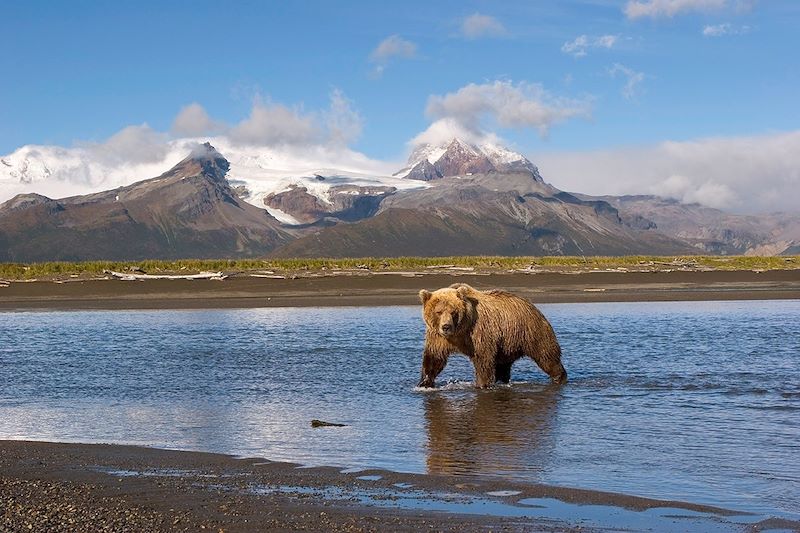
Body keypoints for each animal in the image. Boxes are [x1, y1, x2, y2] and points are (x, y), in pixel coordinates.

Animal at [416, 282, 564, 386]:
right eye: (438, 311)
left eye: (453, 312)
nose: (446, 326)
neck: (460, 330)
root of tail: (532, 305)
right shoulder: (438, 337)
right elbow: (434, 357)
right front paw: (424, 382)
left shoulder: (479, 332)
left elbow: (483, 359)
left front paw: (482, 384)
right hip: (507, 344)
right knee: (503, 366)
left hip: (531, 331)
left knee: (546, 356)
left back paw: (559, 377)